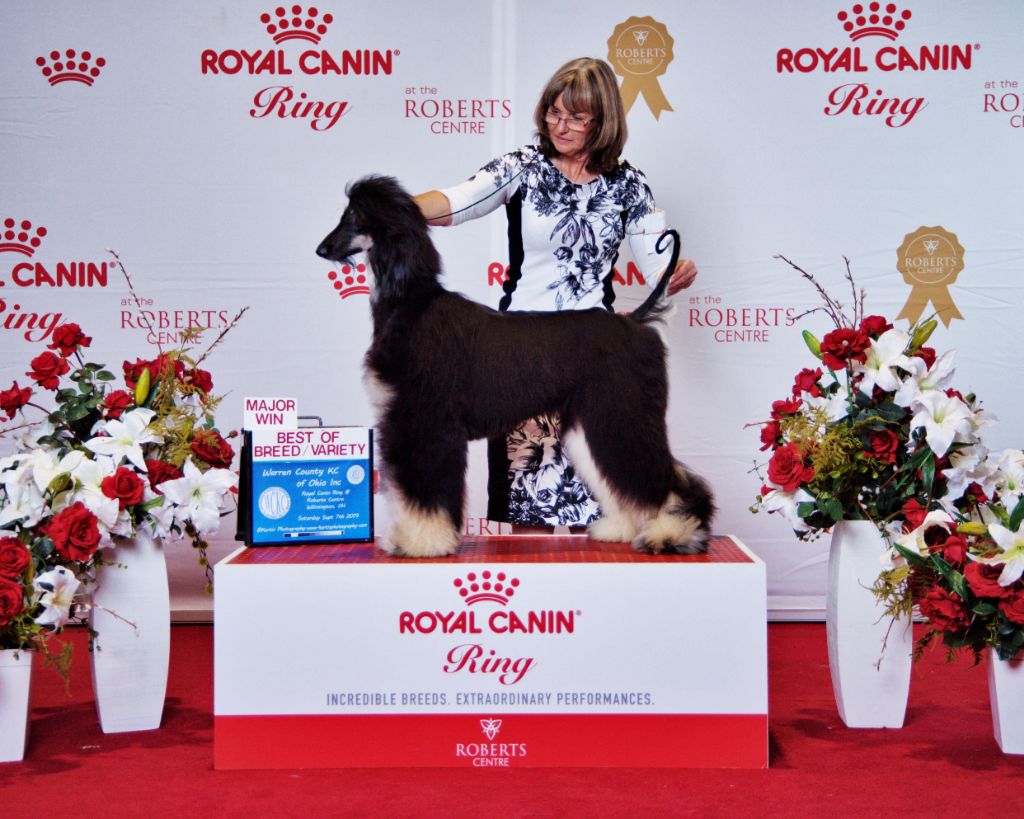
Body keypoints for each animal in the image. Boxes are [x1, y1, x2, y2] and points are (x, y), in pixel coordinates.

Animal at [316, 175, 715, 558]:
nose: (322, 249)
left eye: (354, 215)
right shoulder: (409, 422)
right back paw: (621, 529)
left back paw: (674, 533)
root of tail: (638, 321)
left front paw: (422, 541)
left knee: (666, 477)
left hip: (623, 413)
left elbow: (423, 492)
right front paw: (408, 538)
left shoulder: (424, 422)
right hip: (594, 421)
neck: (410, 303)